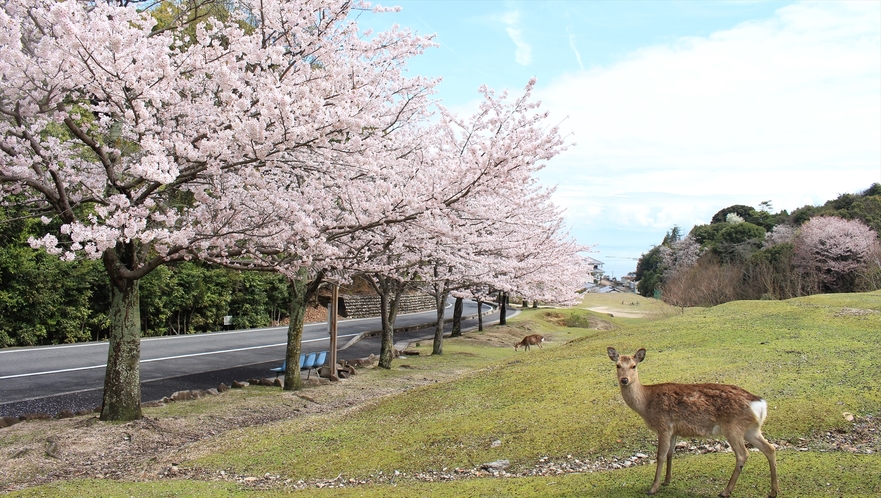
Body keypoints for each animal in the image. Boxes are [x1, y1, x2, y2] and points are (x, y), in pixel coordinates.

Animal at [604, 348, 776, 496]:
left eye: (633, 366)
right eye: (618, 365)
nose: (624, 380)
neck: (646, 404)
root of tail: (759, 404)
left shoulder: (663, 425)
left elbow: (660, 455)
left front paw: (653, 488)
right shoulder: (674, 430)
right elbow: (670, 453)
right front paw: (667, 480)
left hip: (734, 427)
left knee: (742, 454)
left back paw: (725, 491)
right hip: (751, 429)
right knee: (770, 448)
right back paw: (773, 491)